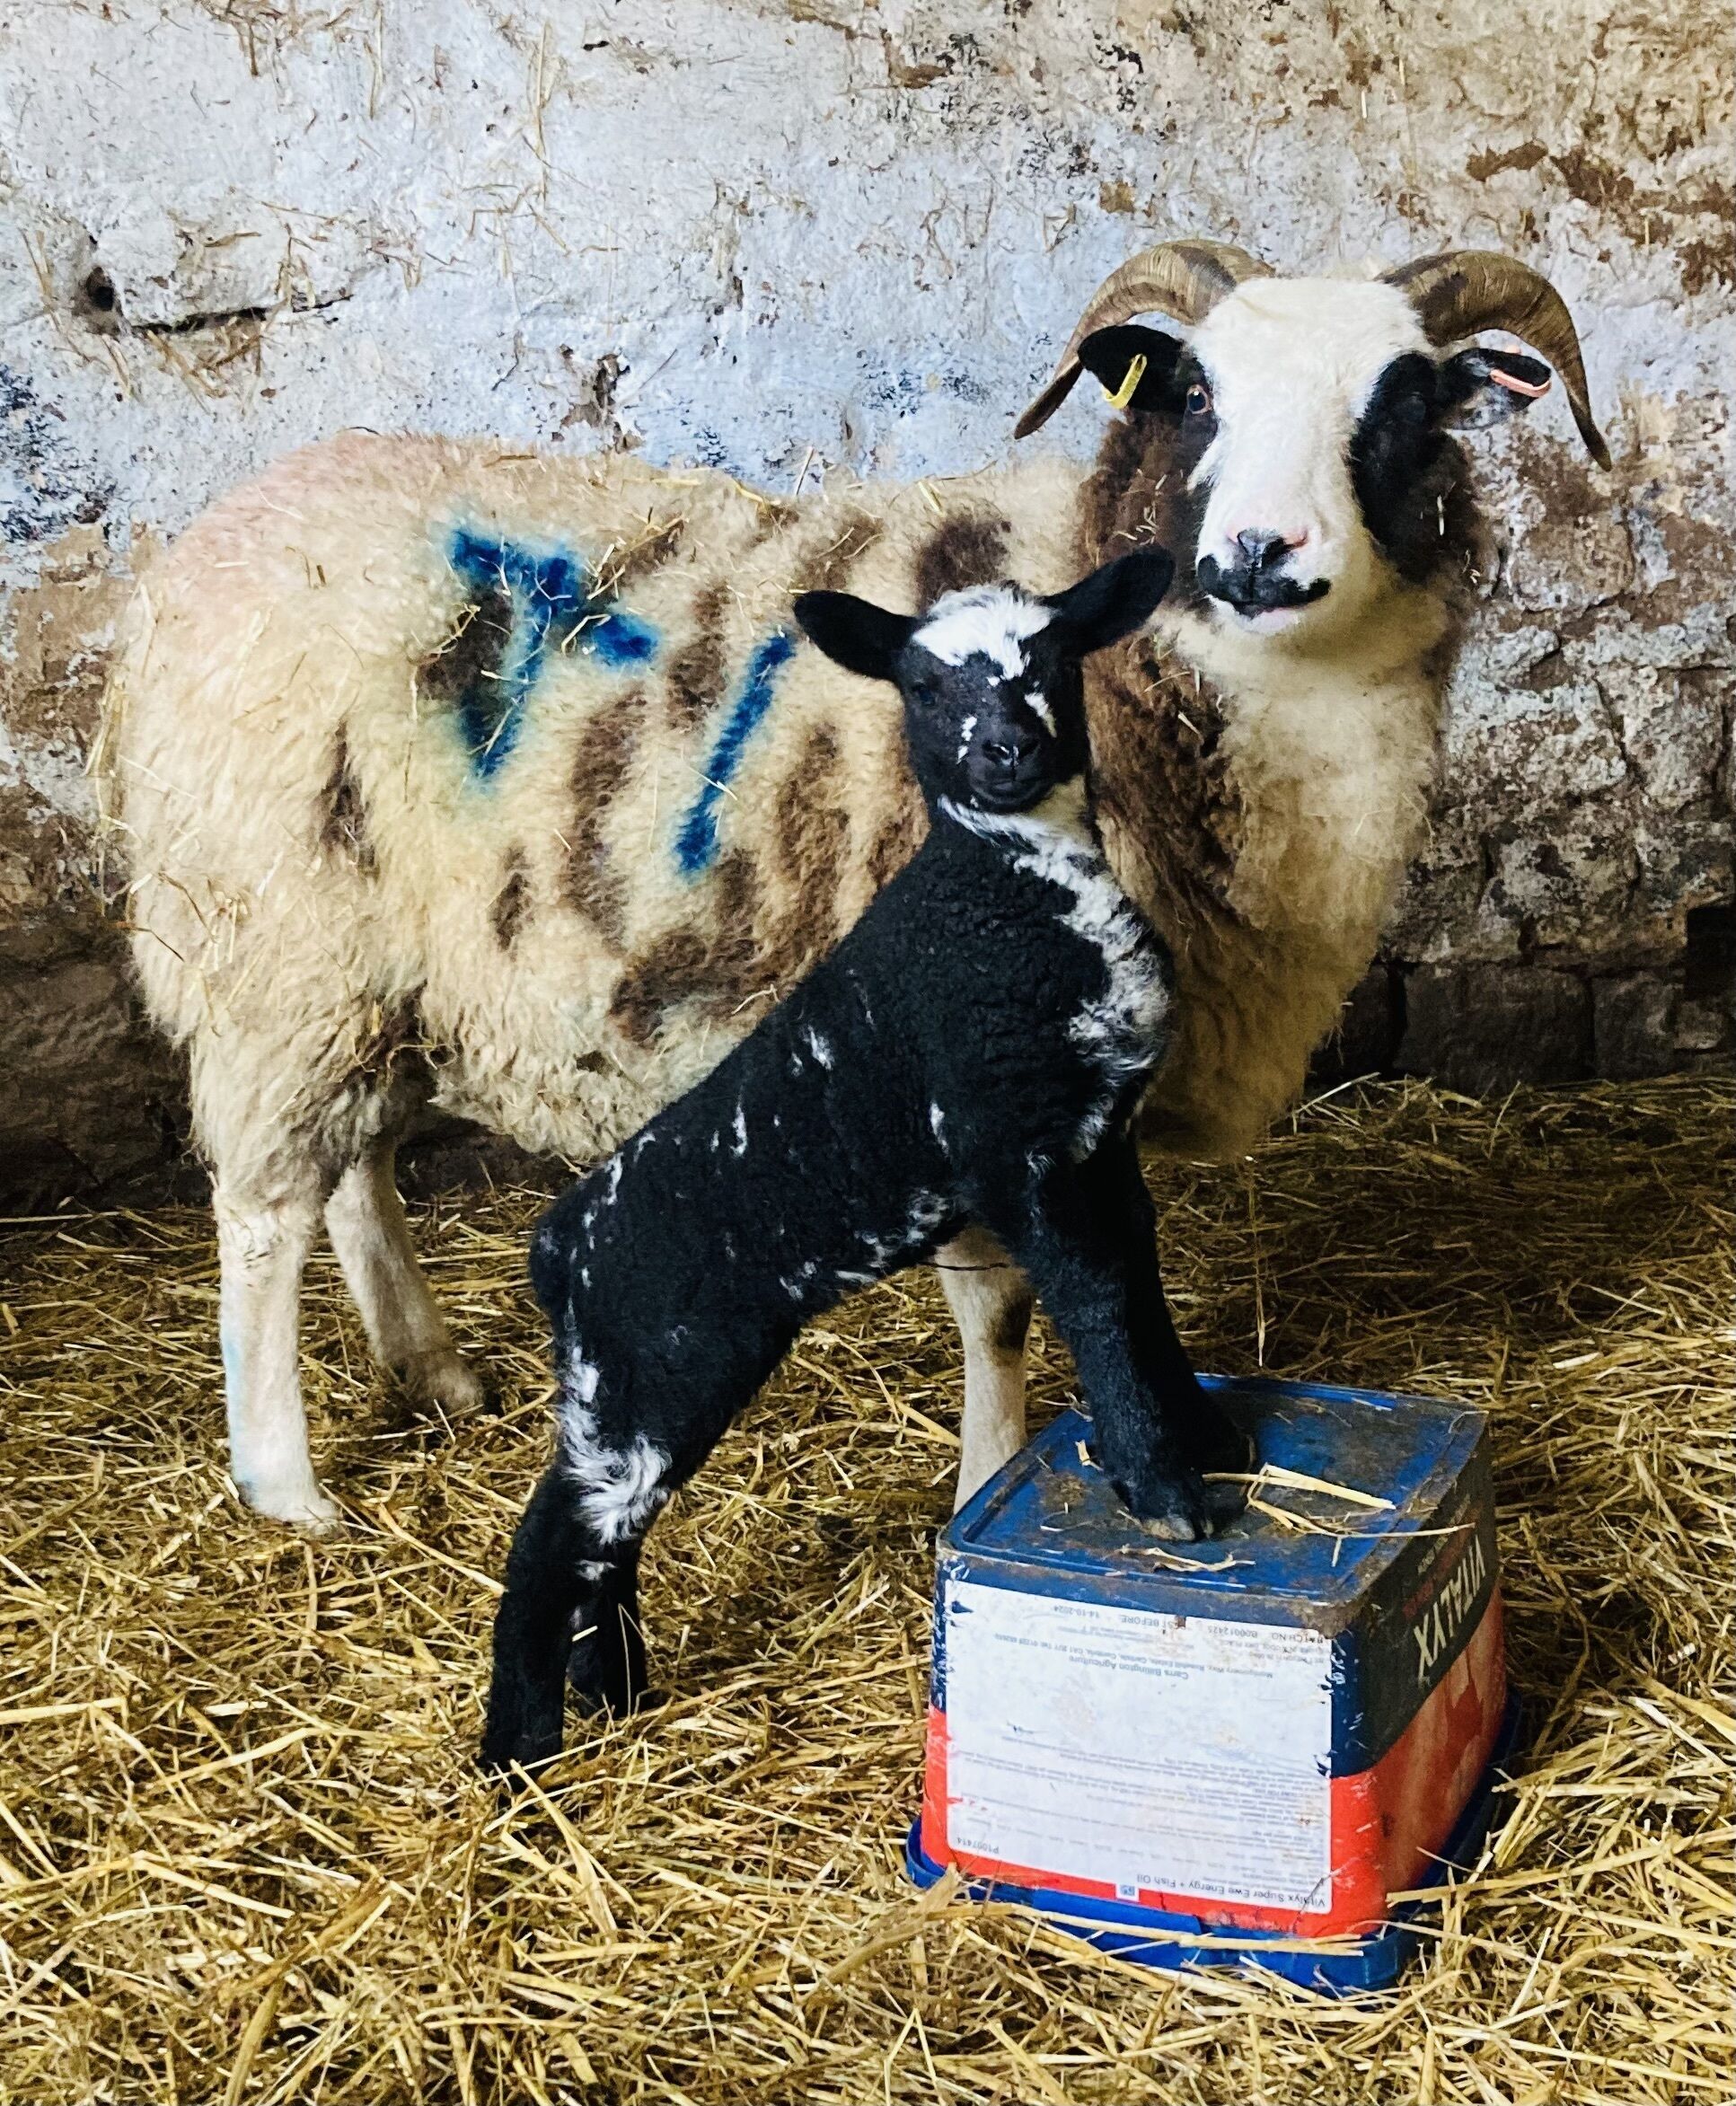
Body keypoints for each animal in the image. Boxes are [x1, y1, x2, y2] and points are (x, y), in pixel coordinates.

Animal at [101, 241, 1608, 1532]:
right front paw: (991, 1480)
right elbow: (1001, 1306)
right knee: (264, 1212)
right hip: (272, 934)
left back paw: (430, 1369)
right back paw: (286, 1484)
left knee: (351, 1168)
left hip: (358, 958)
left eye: (1408, 402)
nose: (1258, 556)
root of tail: (193, 560)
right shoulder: (975, 1053)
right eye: (1193, 395)